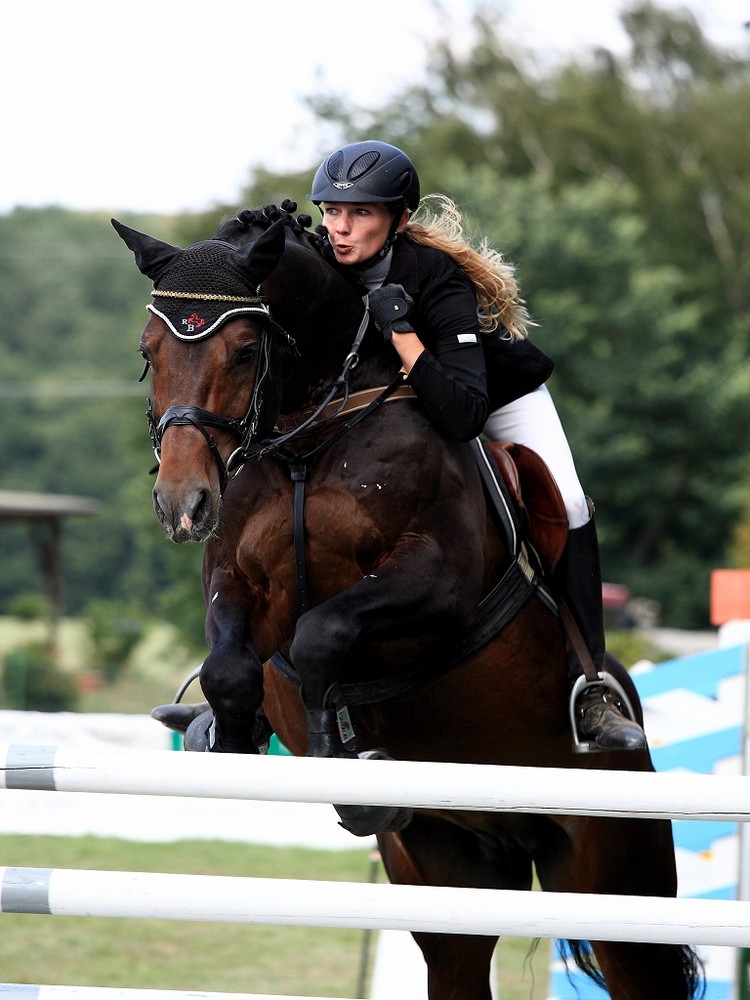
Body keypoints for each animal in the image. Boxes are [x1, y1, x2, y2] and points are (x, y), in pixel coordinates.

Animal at [111, 205, 704, 1000]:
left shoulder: (434, 582)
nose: (183, 505)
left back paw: (598, 715)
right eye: (148, 350)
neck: (311, 435)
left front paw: (342, 758)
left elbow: (323, 635)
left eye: (243, 351)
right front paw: (233, 739)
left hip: (614, 876)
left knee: (639, 961)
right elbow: (232, 667)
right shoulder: (241, 585)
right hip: (447, 870)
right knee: (458, 958)